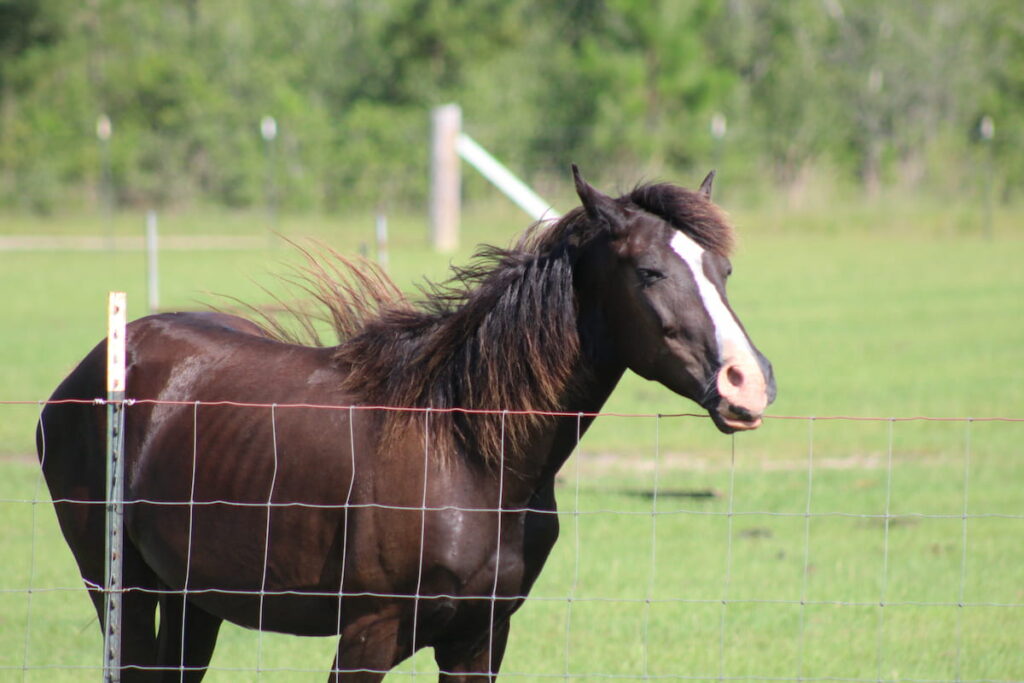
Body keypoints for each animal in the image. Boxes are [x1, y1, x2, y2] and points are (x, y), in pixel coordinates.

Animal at [37, 166, 774, 683]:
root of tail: (96, 366)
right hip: (121, 588)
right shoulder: (368, 634)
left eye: (725, 268)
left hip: (193, 598)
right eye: (649, 271)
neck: (468, 453)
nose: (749, 381)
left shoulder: (479, 639)